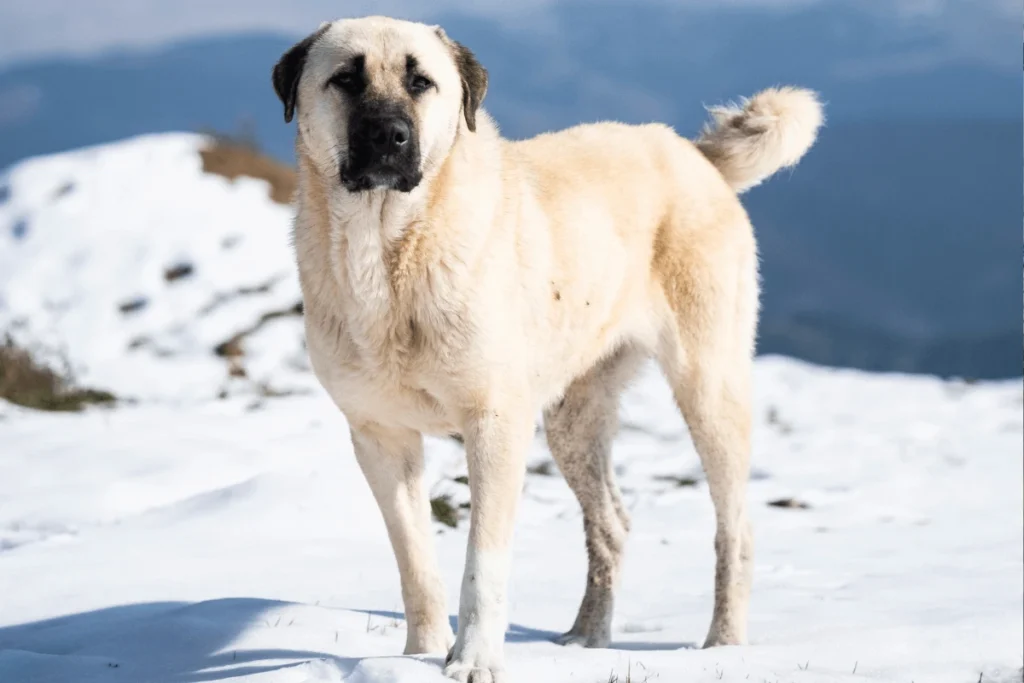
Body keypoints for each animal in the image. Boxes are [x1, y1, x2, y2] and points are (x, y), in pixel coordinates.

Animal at [272, 15, 823, 683]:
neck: (388, 255)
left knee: (734, 530)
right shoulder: (380, 437)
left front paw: (473, 660)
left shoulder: (495, 425)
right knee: (612, 524)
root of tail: (694, 155)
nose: (390, 136)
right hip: (572, 421)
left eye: (421, 81)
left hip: (709, 388)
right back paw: (585, 640)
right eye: (346, 79)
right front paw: (419, 654)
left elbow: (482, 563)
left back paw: (722, 646)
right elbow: (415, 560)